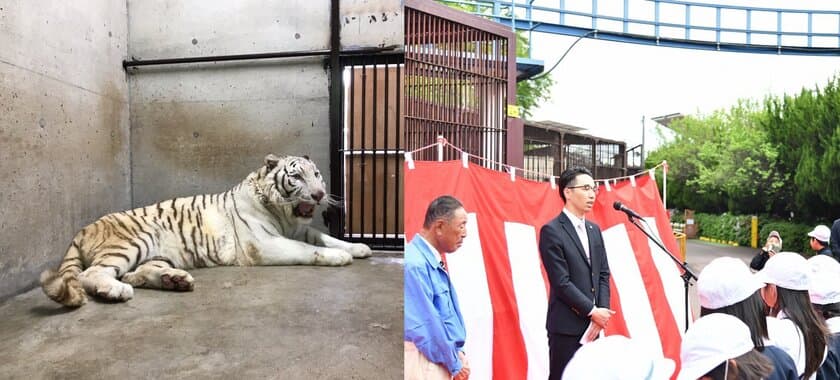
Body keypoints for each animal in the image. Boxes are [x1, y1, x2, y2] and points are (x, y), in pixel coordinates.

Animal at [40, 153, 370, 308]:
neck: (284, 215)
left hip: (157, 254)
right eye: (297, 176)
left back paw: (174, 280)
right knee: (92, 274)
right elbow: (310, 249)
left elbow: (327, 237)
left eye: (317, 175)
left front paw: (359, 248)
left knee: (136, 273)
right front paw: (339, 258)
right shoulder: (264, 244)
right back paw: (115, 291)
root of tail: (83, 229)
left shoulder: (298, 231)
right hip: (134, 241)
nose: (318, 194)